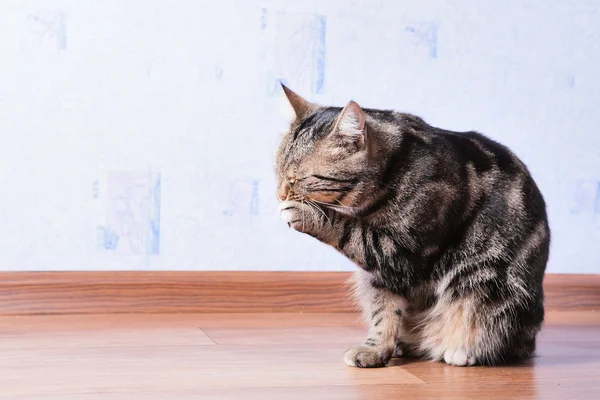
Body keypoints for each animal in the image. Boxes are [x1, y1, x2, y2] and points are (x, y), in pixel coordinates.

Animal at [274, 85, 552, 368]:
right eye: (277, 172)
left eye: (297, 179)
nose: (280, 194)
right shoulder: (380, 274)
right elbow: (383, 312)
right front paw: (376, 350)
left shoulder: (400, 252)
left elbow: (347, 229)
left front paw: (307, 214)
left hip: (486, 281)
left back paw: (462, 352)